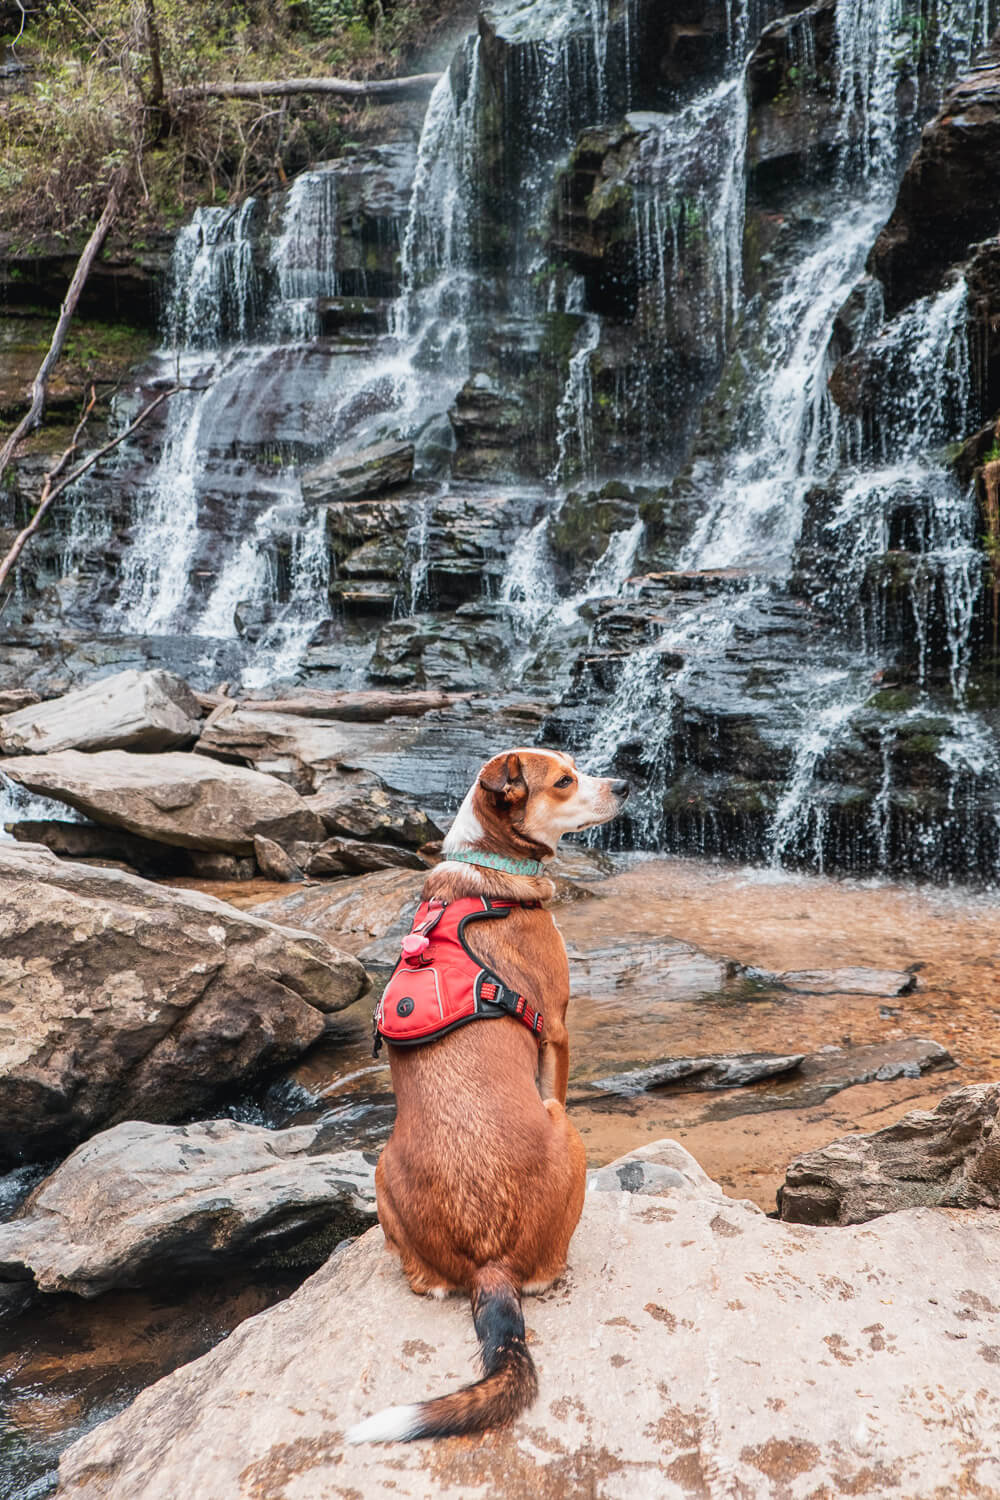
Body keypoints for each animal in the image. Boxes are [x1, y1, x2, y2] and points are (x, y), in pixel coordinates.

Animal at [347, 747, 629, 1440]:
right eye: (565, 781)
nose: (627, 784)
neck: (489, 866)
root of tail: (488, 1264)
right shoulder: (557, 1030)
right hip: (563, 1130)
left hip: (381, 1169)